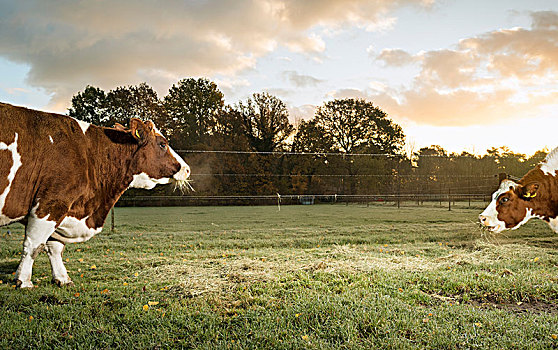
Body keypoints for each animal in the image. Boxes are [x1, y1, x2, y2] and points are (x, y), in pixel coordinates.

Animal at [0, 102, 191, 288]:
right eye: (162, 144)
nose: (187, 169)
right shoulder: (51, 204)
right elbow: (34, 245)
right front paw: (23, 281)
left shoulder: (61, 210)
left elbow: (54, 246)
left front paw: (62, 278)